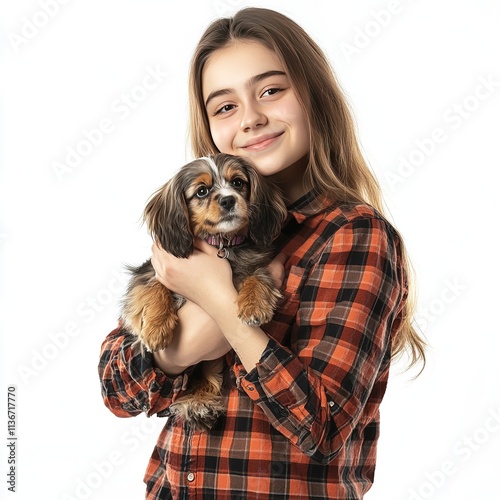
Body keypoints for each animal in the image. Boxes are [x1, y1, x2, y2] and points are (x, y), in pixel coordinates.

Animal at [119, 153, 288, 430]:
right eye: (201, 191)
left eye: (238, 182)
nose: (229, 199)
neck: (222, 245)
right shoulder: (147, 273)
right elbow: (155, 289)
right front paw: (156, 328)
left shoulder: (255, 265)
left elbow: (257, 276)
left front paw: (254, 305)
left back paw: (200, 405)